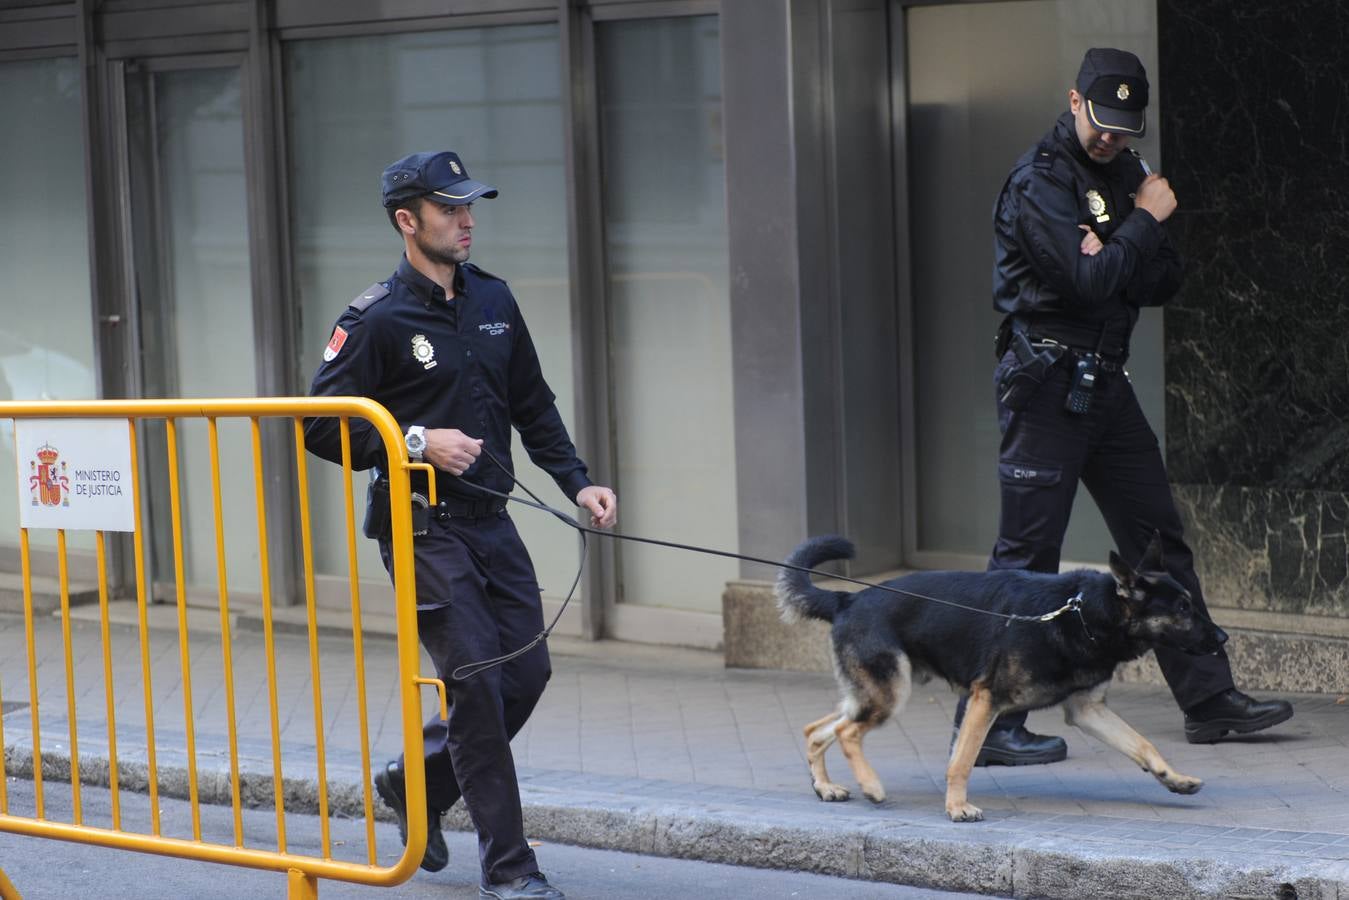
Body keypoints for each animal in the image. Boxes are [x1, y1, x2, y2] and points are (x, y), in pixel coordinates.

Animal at [306, 151, 617, 895]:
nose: (470, 221)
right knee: (478, 684)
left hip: (516, 611)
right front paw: (511, 868)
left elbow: (533, 396)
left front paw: (587, 491)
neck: (440, 289)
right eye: (448, 205)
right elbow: (324, 423)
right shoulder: (355, 335)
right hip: (435, 578)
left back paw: (400, 783)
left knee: (519, 678)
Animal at [777, 534, 1230, 825]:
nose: (1224, 638)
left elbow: (1142, 744)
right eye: (1184, 609)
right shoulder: (986, 700)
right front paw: (957, 808)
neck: (1082, 613)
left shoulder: (1087, 710)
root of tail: (847, 598)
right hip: (890, 694)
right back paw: (870, 785)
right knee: (847, 732)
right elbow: (961, 760)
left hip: (874, 694)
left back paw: (826, 787)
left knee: (817, 729)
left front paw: (1174, 779)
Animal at [960, 49, 1295, 766]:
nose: (1127, 150)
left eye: (1127, 119)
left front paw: (1221, 704)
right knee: (1023, 549)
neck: (1081, 156)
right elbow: (1091, 258)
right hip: (1037, 454)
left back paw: (1224, 706)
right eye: (1101, 116)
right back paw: (1003, 738)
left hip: (1119, 444)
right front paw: (1132, 215)